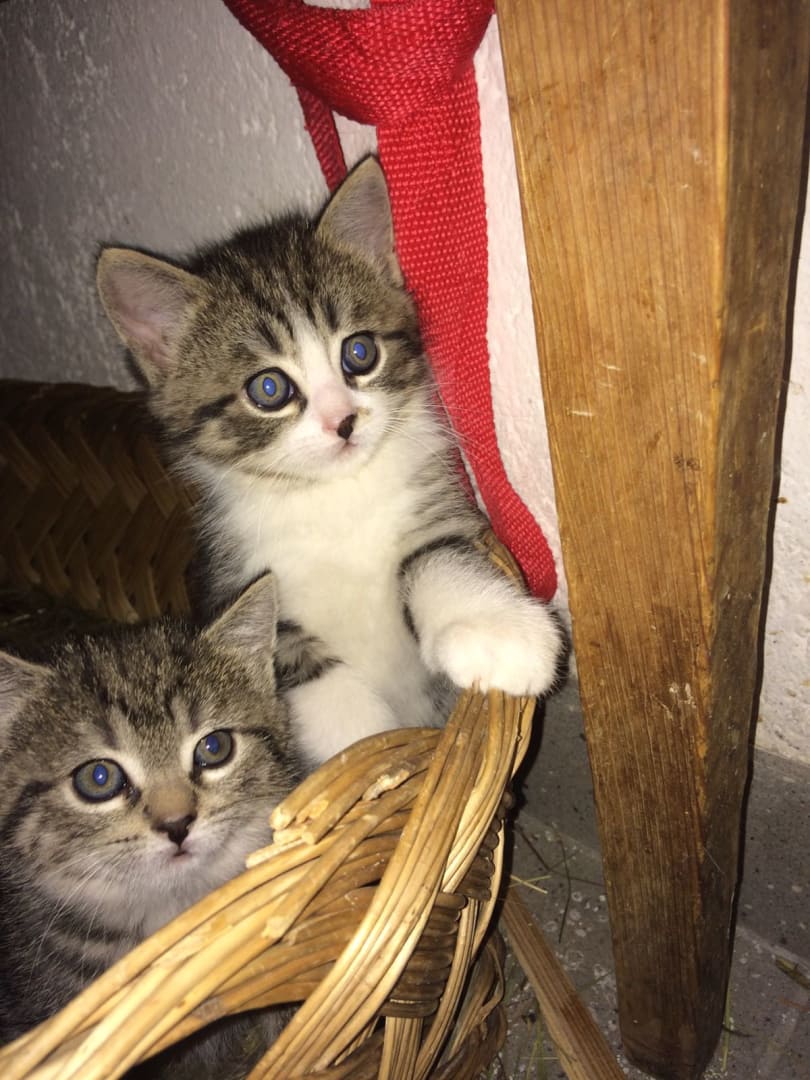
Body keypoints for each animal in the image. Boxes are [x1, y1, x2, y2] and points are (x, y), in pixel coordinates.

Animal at [96, 157, 564, 767]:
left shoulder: (442, 508)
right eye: (268, 388)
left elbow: (438, 554)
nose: (343, 421)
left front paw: (496, 629)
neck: (333, 496)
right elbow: (286, 655)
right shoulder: (231, 575)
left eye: (359, 352)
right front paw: (364, 755)